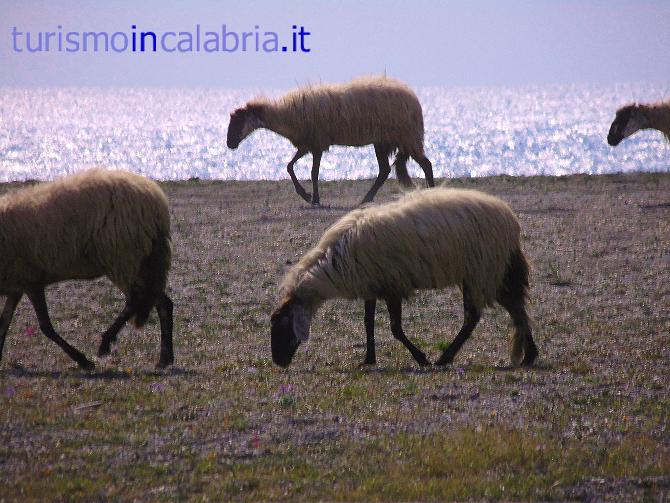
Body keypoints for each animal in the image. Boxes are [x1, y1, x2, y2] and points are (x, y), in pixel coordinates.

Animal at [0, 171, 176, 372]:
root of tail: (157, 204)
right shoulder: (16, 285)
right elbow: (3, 324)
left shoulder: (31, 280)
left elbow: (46, 327)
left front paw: (83, 360)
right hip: (144, 259)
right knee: (161, 302)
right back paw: (164, 359)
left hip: (123, 256)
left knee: (136, 300)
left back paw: (105, 344)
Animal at [227, 76, 436, 206]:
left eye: (238, 121)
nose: (230, 144)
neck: (285, 115)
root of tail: (414, 101)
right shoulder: (307, 144)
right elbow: (289, 166)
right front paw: (306, 195)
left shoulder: (317, 144)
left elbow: (313, 173)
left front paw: (314, 199)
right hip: (383, 141)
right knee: (384, 170)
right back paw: (366, 199)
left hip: (406, 137)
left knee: (426, 164)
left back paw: (432, 191)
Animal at [270, 187, 540, 368]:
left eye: (283, 325)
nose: (278, 362)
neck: (333, 265)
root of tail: (510, 219)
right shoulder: (371, 285)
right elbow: (368, 322)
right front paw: (369, 359)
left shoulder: (392, 285)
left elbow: (396, 329)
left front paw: (421, 358)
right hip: (494, 270)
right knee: (516, 308)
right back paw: (530, 355)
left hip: (482, 269)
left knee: (475, 317)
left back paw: (445, 358)